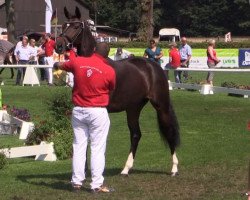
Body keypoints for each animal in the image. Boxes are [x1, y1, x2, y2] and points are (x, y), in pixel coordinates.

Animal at [55, 7, 180, 176]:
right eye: (63, 25)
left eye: (75, 26)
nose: (58, 45)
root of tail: (153, 66)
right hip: (133, 108)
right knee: (136, 134)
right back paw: (126, 169)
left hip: (161, 106)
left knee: (169, 131)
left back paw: (174, 168)